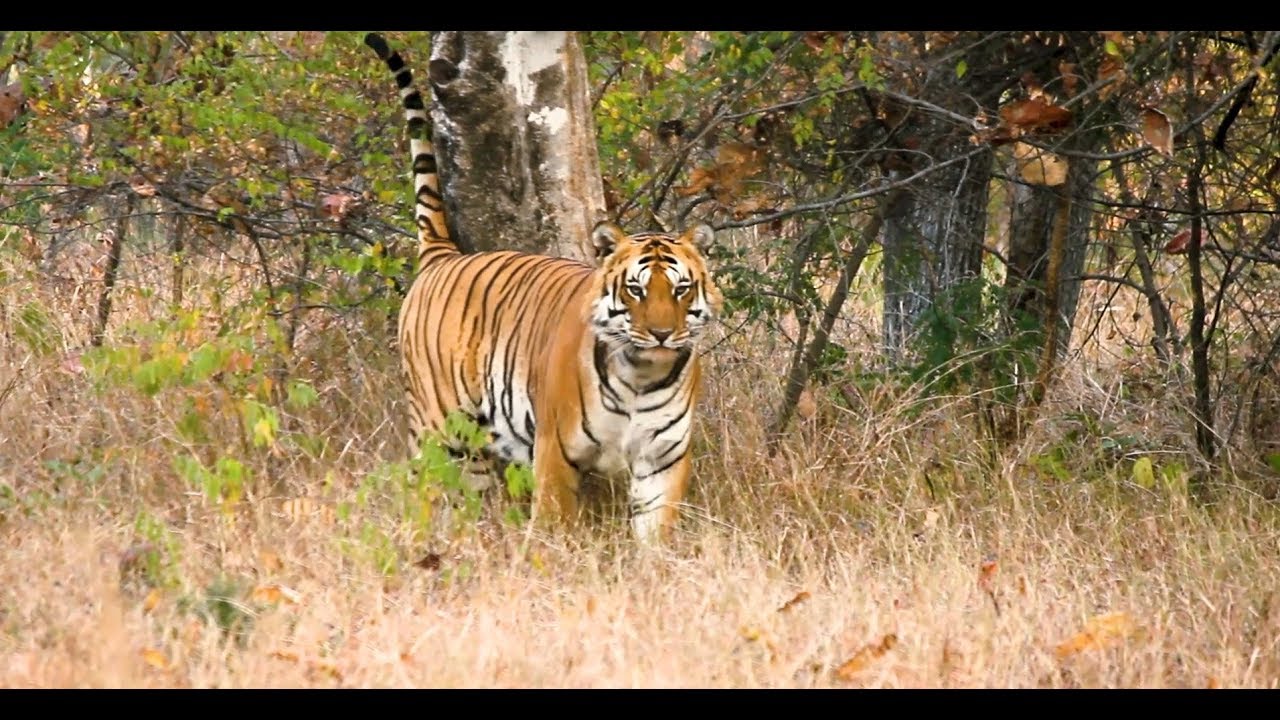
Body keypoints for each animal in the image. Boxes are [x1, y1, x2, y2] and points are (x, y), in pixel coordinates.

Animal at [363, 30, 721, 540]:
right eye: (635, 290)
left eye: (680, 289)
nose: (660, 334)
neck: (642, 377)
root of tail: (443, 255)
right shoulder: (557, 450)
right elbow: (554, 522)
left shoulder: (661, 461)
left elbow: (655, 534)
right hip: (438, 425)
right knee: (423, 487)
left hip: (476, 448)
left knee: (469, 498)